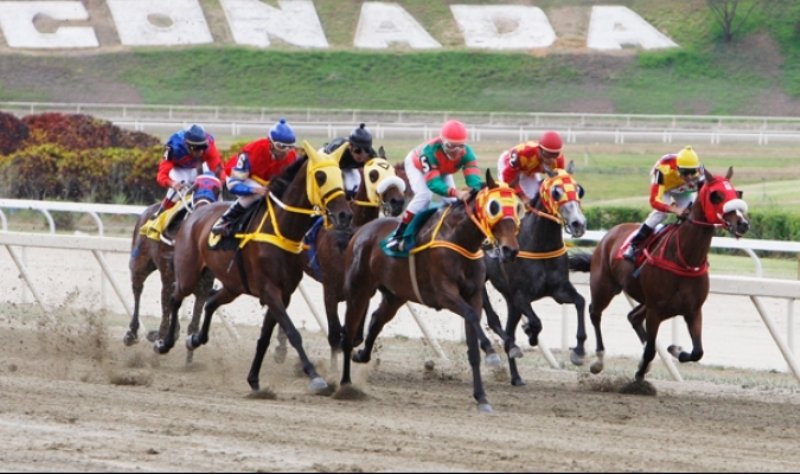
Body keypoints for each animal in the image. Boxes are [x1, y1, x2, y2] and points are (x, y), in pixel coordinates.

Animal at [124, 175, 222, 352]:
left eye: (218, 190)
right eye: (195, 187)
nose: (203, 210)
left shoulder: (204, 285)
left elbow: (193, 322)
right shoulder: (168, 275)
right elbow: (166, 305)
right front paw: (161, 338)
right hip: (139, 263)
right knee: (137, 288)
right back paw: (132, 333)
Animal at [156, 143, 354, 394]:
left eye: (339, 174)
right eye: (320, 176)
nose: (344, 214)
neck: (281, 229)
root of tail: (194, 213)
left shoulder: (283, 293)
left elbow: (264, 338)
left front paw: (253, 379)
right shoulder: (270, 291)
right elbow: (293, 333)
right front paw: (315, 376)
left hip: (233, 285)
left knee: (210, 302)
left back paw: (195, 339)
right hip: (189, 273)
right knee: (175, 298)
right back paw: (163, 343)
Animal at [304, 150, 410, 364]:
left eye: (395, 172)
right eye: (373, 174)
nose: (397, 202)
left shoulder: (364, 292)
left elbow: (354, 335)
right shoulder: (330, 291)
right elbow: (335, 335)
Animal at [340, 169, 520, 412]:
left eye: (518, 206)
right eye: (494, 207)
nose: (510, 250)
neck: (459, 240)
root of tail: (360, 231)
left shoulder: (473, 295)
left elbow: (473, 346)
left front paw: (482, 397)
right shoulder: (444, 294)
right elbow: (472, 316)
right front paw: (492, 353)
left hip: (395, 295)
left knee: (377, 319)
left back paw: (362, 355)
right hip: (358, 291)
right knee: (348, 333)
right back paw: (345, 384)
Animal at [568, 167, 752, 382]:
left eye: (737, 193)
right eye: (717, 196)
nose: (742, 223)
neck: (685, 259)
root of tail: (609, 234)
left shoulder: (693, 310)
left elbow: (697, 352)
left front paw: (675, 350)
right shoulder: (655, 310)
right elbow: (650, 351)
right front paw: (640, 374)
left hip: (646, 302)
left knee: (633, 317)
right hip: (604, 286)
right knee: (595, 313)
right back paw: (595, 359)